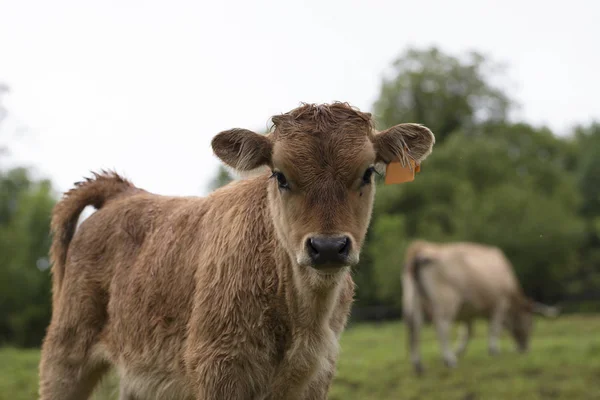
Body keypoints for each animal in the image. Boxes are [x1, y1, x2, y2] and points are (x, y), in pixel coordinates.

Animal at [38, 103, 436, 400]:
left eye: (368, 172)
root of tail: (125, 192)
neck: (299, 314)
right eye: (280, 175)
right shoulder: (219, 368)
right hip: (65, 357)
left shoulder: (317, 374)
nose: (327, 247)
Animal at [400, 239, 560, 374]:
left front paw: (459, 350)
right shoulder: (499, 304)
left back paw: (418, 365)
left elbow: (468, 332)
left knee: (414, 326)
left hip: (413, 299)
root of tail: (422, 247)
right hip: (446, 301)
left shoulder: (467, 312)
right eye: (531, 323)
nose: (525, 348)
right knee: (441, 326)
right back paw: (449, 360)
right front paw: (493, 350)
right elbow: (494, 328)